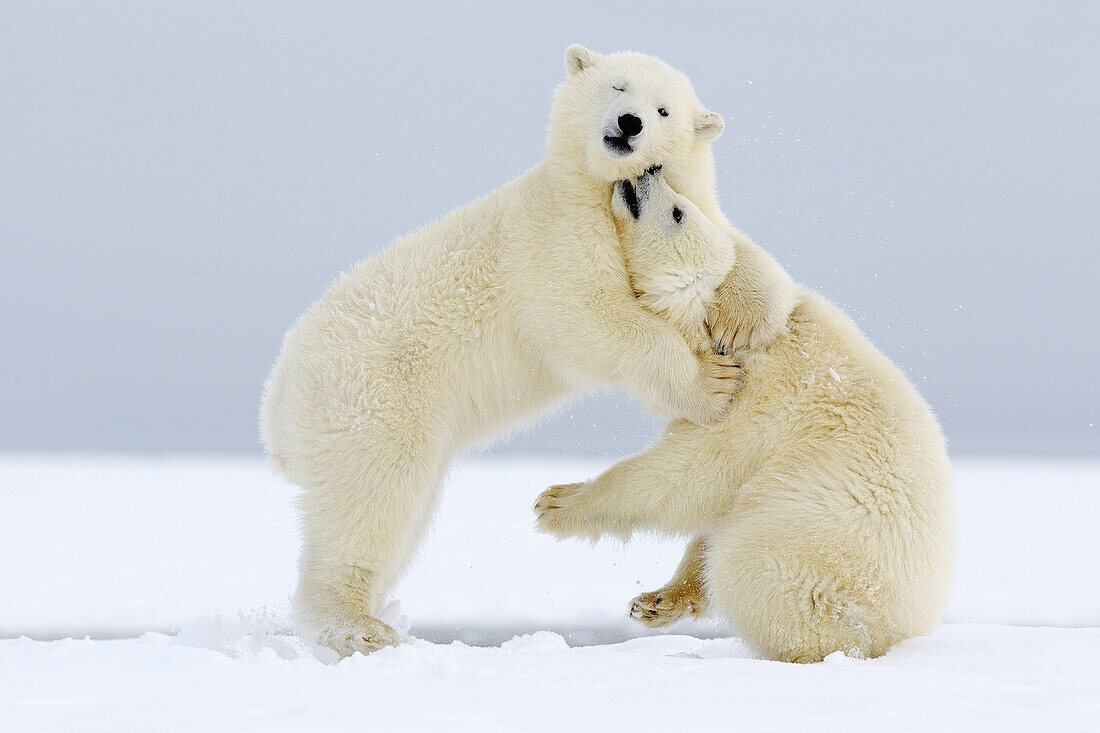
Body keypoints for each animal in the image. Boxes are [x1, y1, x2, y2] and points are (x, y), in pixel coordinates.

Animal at [261, 45, 796, 651]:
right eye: (618, 87)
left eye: (663, 109)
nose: (629, 123)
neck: (591, 189)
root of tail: (278, 393)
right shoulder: (552, 238)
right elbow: (592, 316)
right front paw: (712, 385)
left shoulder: (679, 202)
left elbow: (730, 243)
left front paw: (750, 318)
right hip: (372, 399)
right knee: (372, 497)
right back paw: (359, 624)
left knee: (399, 510)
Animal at [532, 168, 954, 660]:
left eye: (678, 211)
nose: (646, 172)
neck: (719, 334)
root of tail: (911, 629)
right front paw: (652, 602)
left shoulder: (757, 399)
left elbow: (684, 475)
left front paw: (556, 501)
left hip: (821, 557)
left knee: (746, 564)